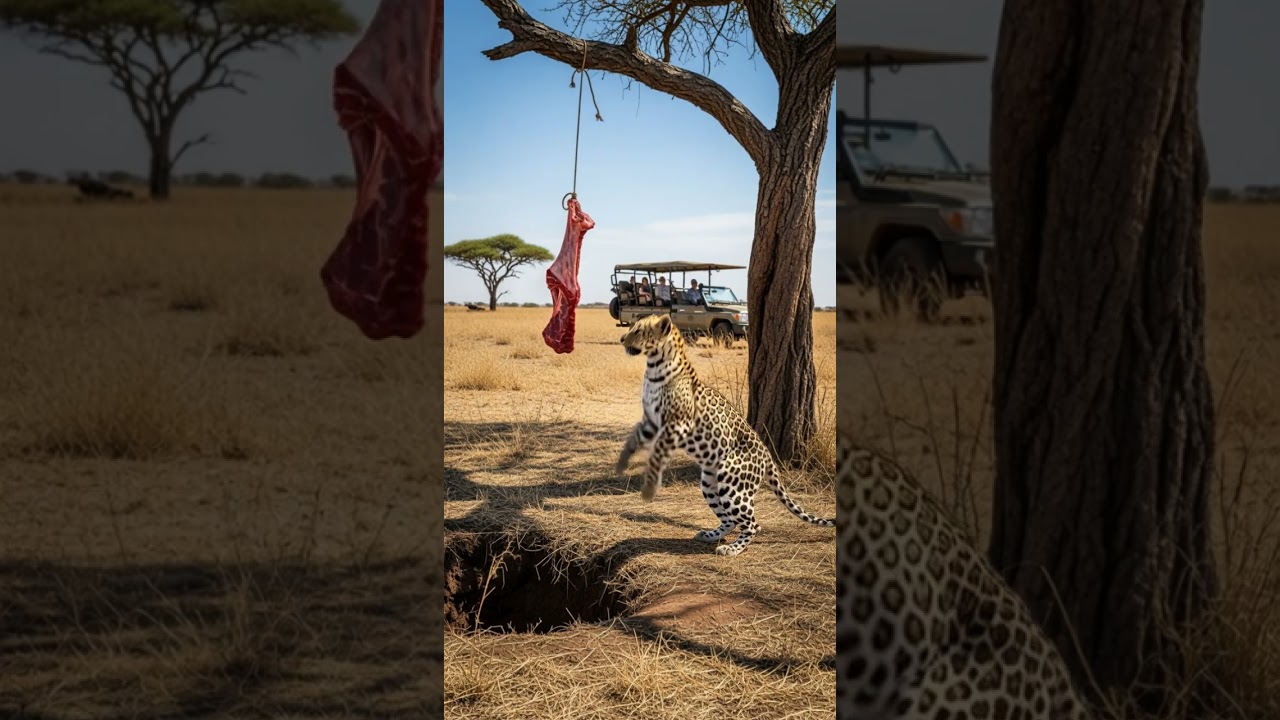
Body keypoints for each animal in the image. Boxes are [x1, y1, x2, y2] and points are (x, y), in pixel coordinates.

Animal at [614, 314, 834, 557]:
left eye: (638, 331)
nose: (622, 338)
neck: (654, 369)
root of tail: (767, 456)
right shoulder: (651, 422)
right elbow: (633, 439)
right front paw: (621, 463)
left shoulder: (677, 424)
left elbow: (657, 454)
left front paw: (649, 486)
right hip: (710, 483)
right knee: (730, 520)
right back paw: (711, 536)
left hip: (733, 486)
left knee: (752, 524)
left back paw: (732, 549)